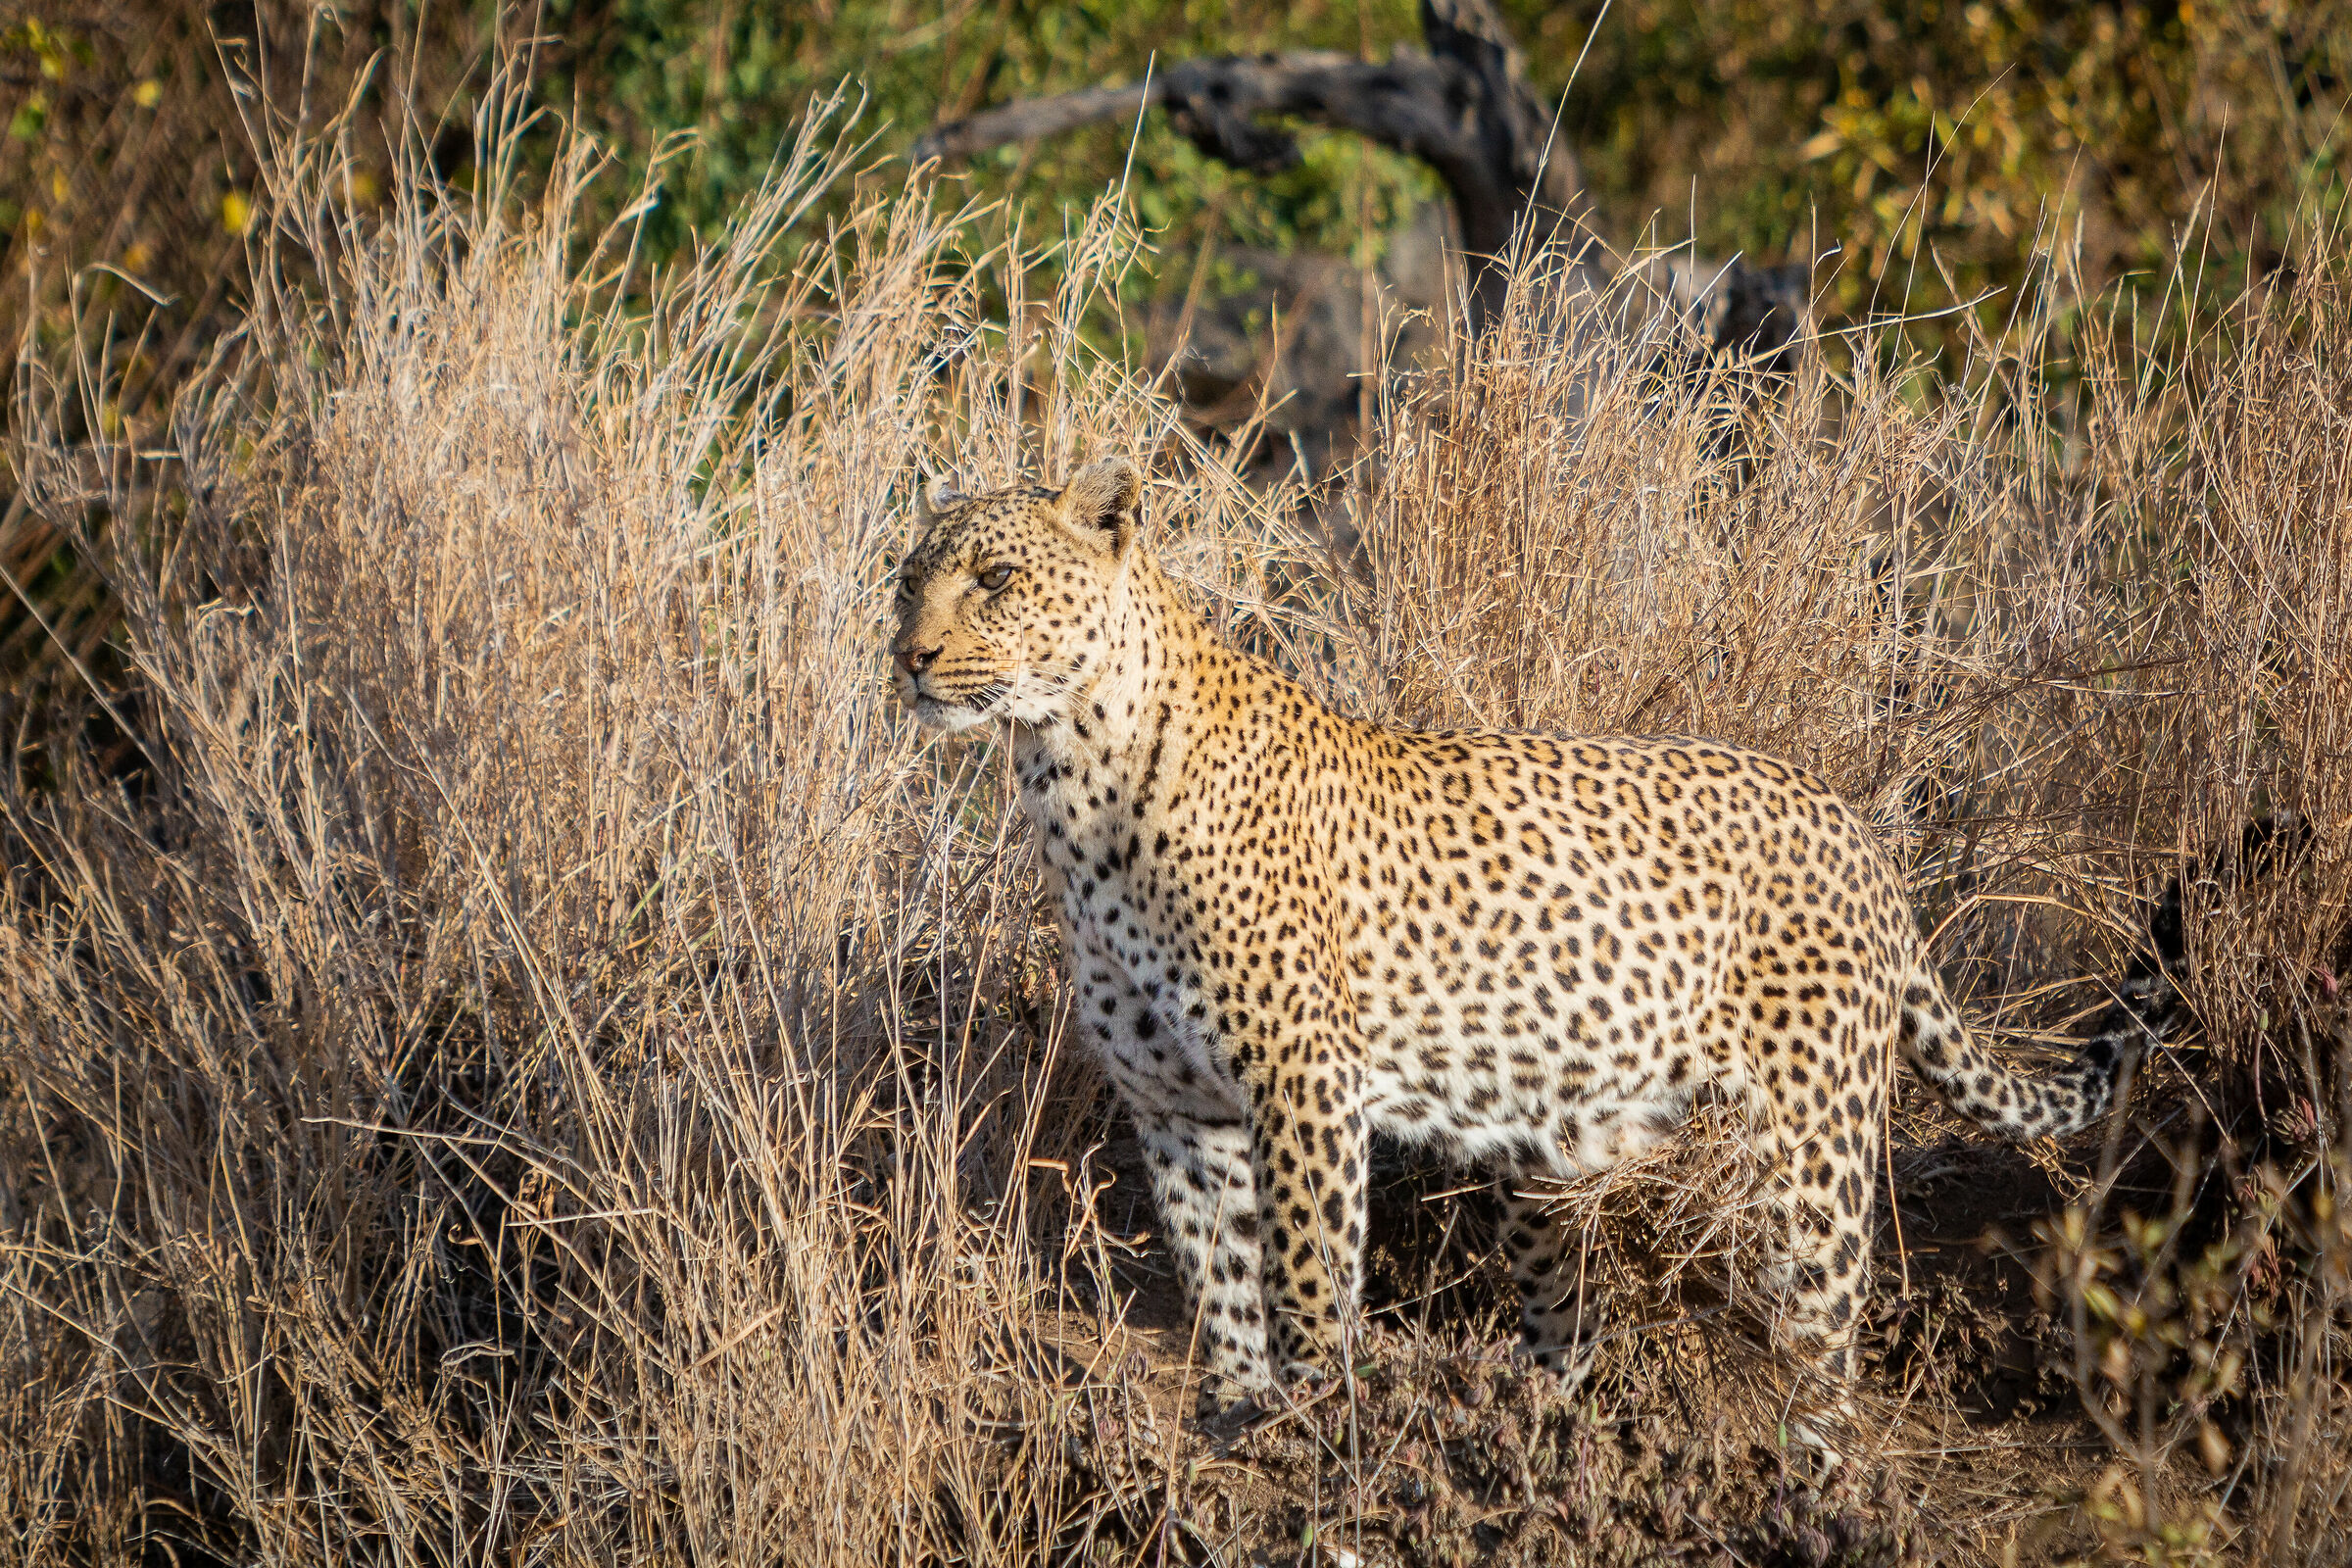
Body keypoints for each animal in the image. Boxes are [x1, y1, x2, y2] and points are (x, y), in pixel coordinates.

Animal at [888, 455, 2150, 1441]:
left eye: (995, 581)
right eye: (909, 579)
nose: (908, 655)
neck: (1072, 782)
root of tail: (1851, 823)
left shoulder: (1302, 1083)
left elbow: (1302, 1274)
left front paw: (1316, 1422)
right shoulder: (1176, 1106)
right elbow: (1224, 1275)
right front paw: (1242, 1417)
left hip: (1811, 1152)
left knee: (1826, 1347)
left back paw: (1813, 1483)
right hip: (1549, 1167)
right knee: (1567, 1327)